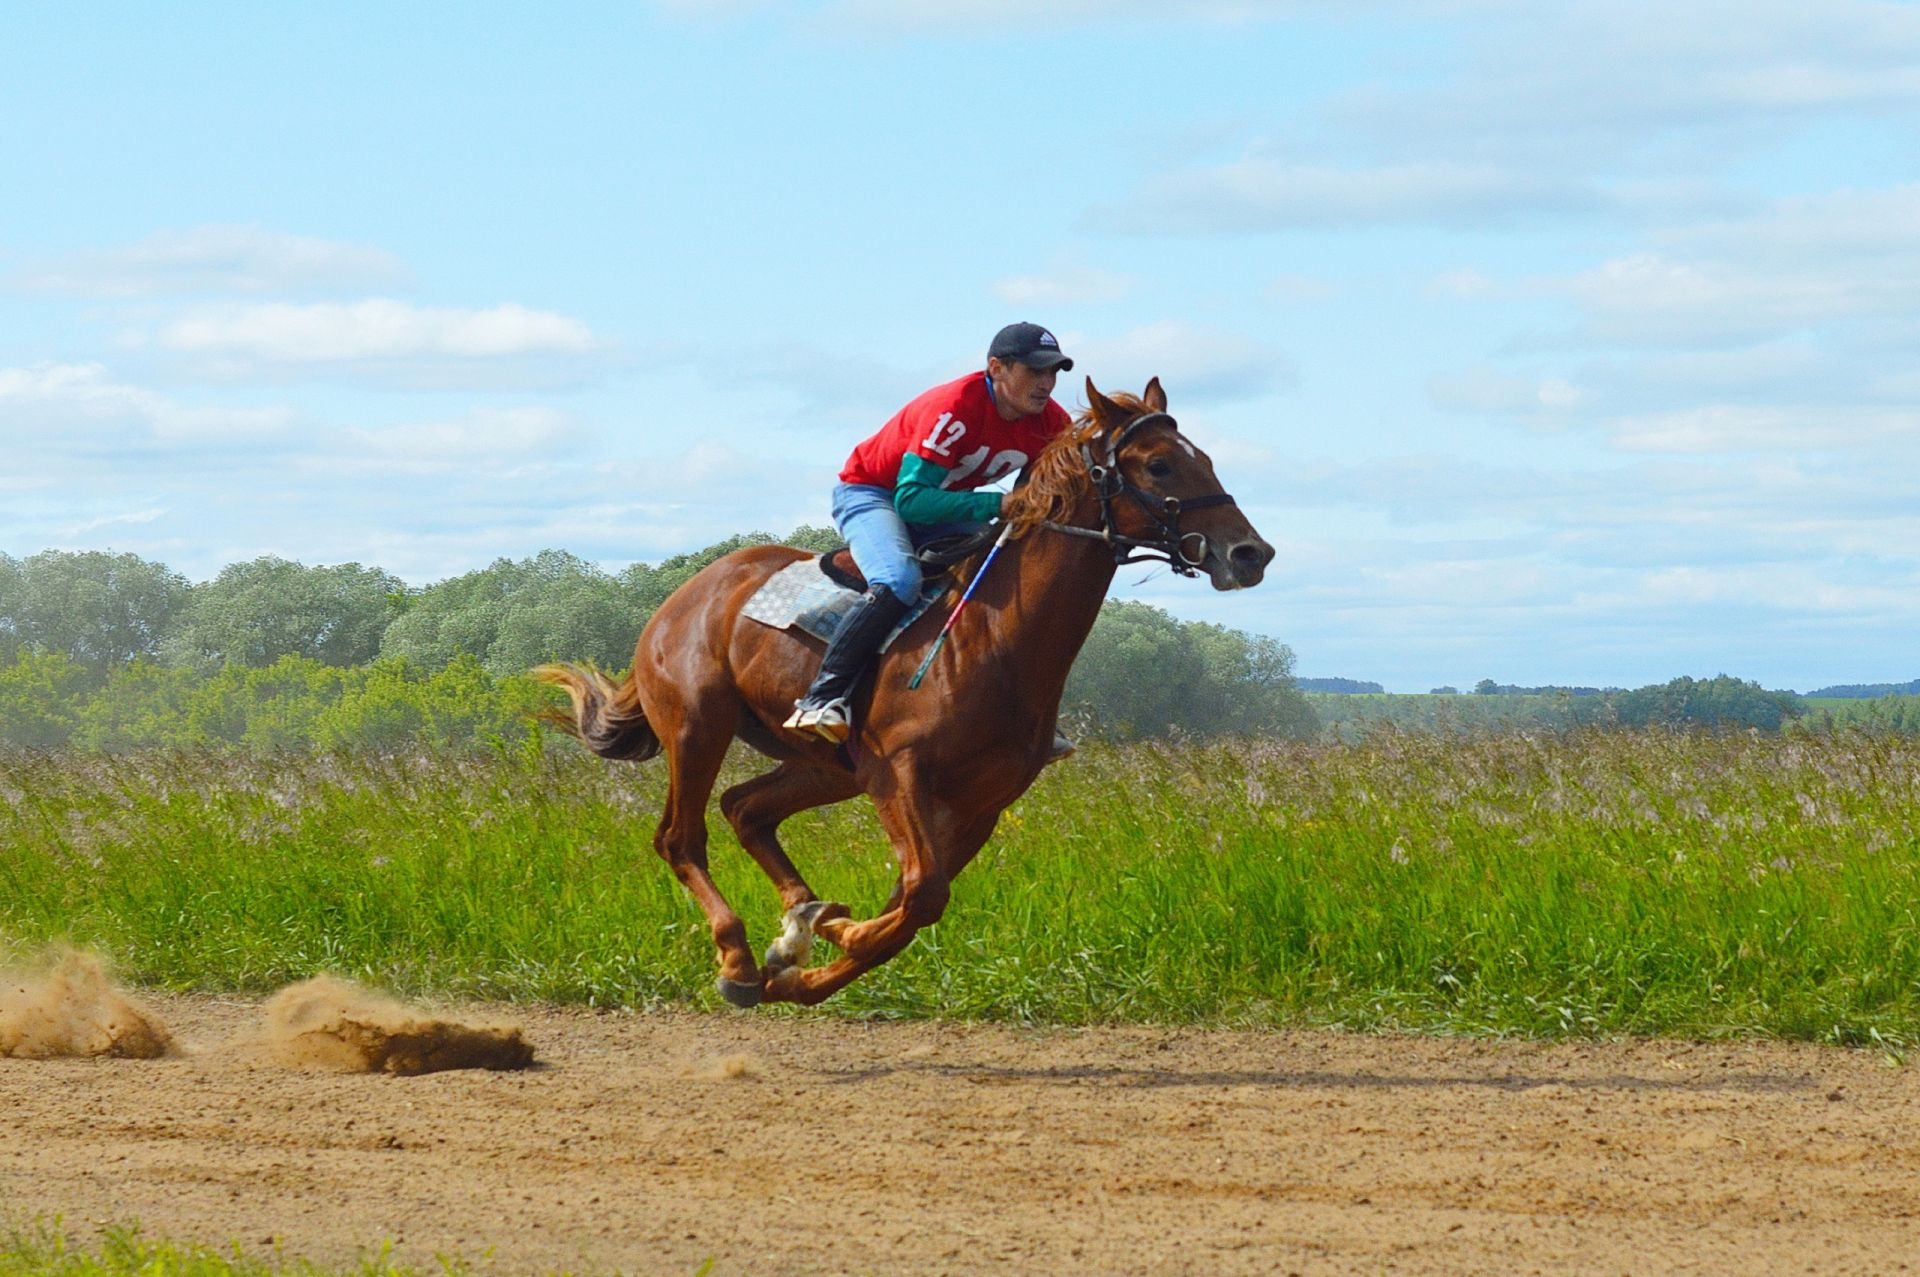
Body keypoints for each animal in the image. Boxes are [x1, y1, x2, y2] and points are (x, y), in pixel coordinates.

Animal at [537, 378, 1274, 1006]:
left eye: (1205, 457)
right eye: (1159, 467)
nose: (1250, 554)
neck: (993, 638)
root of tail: (682, 596)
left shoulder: (981, 801)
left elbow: (910, 904)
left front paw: (808, 959)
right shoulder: (899, 772)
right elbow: (921, 896)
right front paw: (821, 940)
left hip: (827, 765)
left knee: (745, 809)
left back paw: (798, 920)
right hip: (698, 727)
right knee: (680, 838)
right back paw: (741, 959)